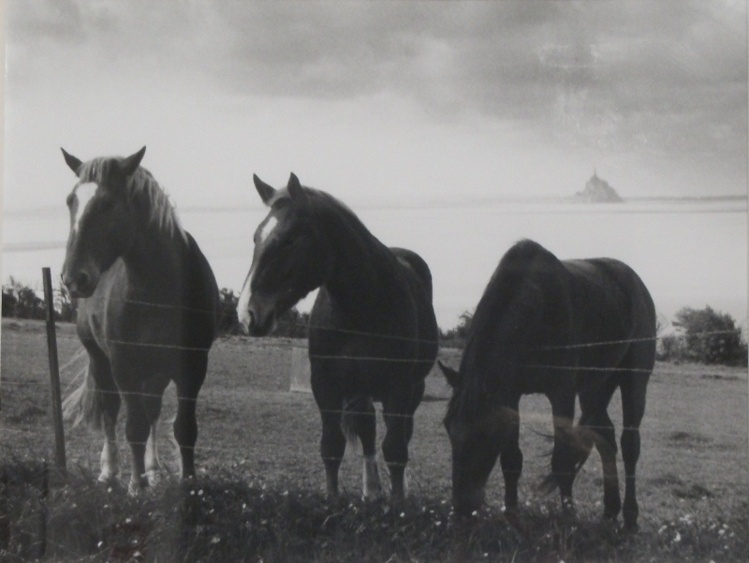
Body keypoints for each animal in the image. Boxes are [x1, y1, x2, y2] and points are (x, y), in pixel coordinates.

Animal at [59, 147, 218, 494]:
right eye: (70, 200)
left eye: (107, 203)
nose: (73, 279)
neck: (159, 288)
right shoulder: (124, 364)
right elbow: (133, 427)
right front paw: (136, 486)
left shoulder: (193, 366)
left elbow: (185, 427)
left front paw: (188, 484)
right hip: (101, 360)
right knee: (110, 412)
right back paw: (111, 471)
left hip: (155, 371)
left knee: (153, 411)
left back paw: (154, 469)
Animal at [237, 174, 438, 500]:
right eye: (256, 237)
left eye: (289, 239)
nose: (247, 314)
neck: (363, 305)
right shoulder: (325, 384)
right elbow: (332, 448)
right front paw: (332, 501)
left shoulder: (398, 387)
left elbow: (395, 449)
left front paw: (399, 502)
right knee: (368, 429)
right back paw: (370, 489)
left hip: (412, 389)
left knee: (399, 434)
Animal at [438, 240, 656, 532]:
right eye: (448, 428)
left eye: (485, 432)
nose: (461, 510)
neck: (537, 310)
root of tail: (636, 282)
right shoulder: (510, 395)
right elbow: (511, 459)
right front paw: (511, 515)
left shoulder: (561, 393)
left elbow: (562, 459)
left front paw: (567, 517)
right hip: (594, 386)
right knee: (606, 438)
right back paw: (610, 511)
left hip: (633, 379)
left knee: (630, 444)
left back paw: (630, 517)